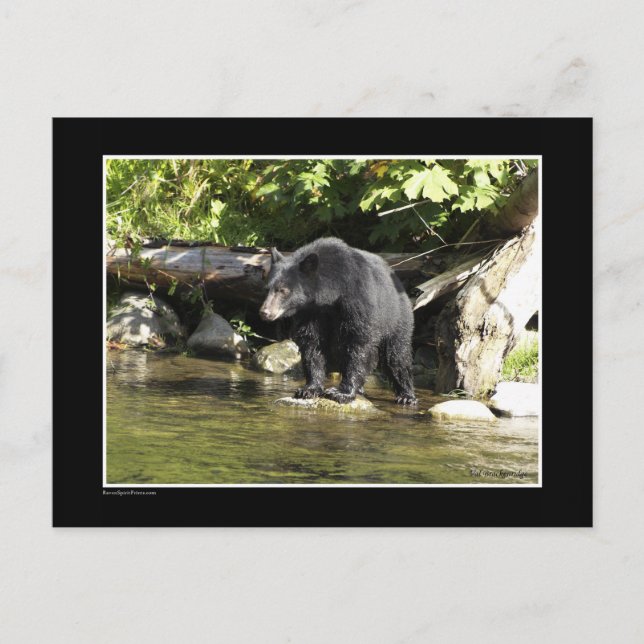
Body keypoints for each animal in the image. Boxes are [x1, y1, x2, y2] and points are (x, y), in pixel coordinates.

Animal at [259, 237, 417, 405]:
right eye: (267, 289)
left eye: (283, 290)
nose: (265, 312)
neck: (332, 294)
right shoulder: (311, 312)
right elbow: (311, 343)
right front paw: (309, 389)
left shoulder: (358, 300)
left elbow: (358, 343)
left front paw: (342, 393)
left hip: (396, 317)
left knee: (396, 355)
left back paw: (406, 395)